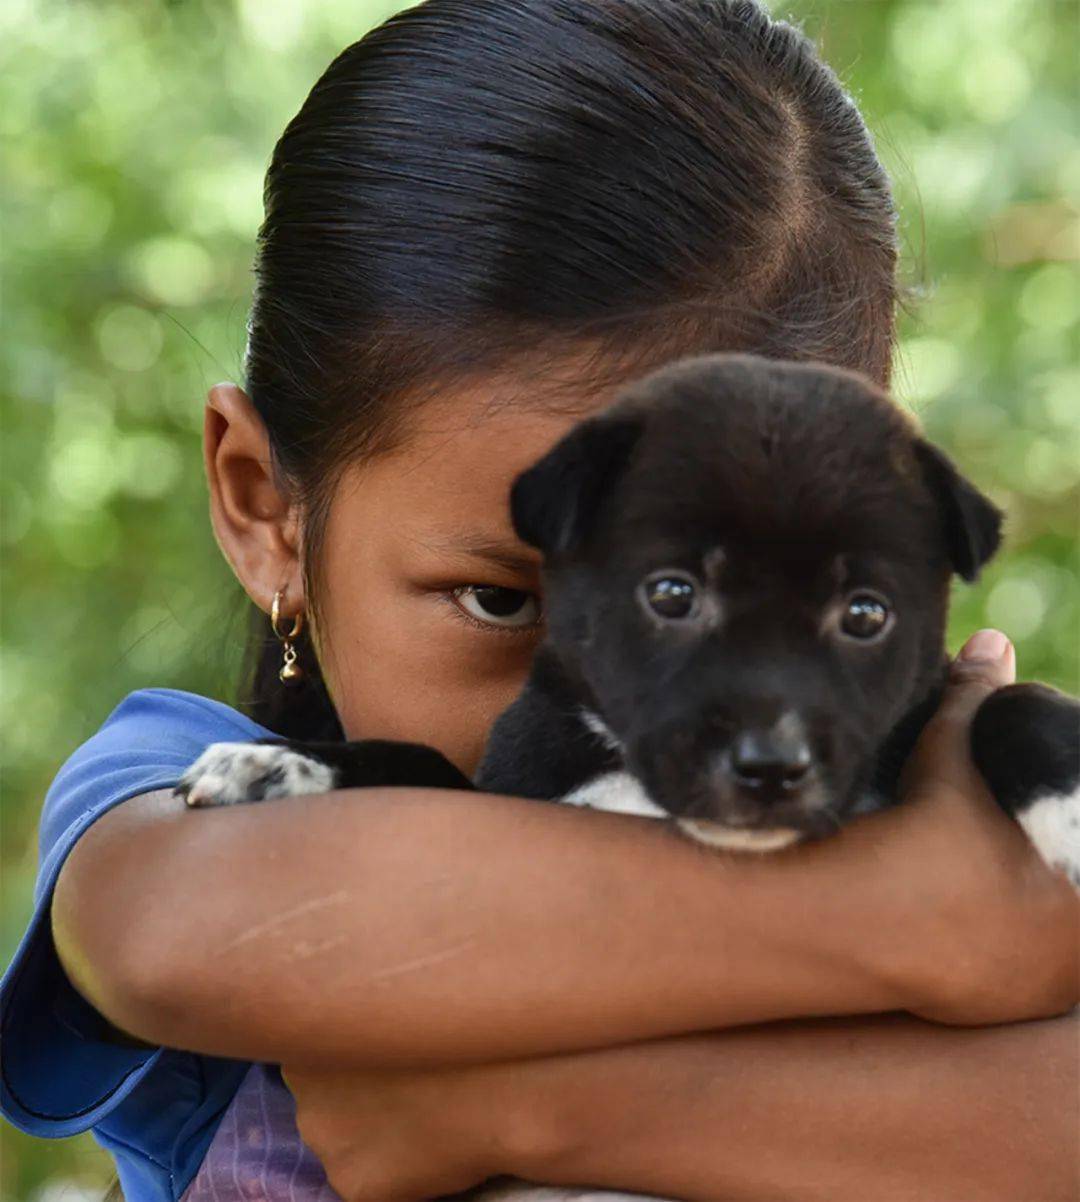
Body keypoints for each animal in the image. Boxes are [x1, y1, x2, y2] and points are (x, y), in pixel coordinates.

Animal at [178, 350, 1080, 889]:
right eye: (672, 595)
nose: (769, 768)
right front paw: (278, 764)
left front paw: (1073, 812)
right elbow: (415, 757)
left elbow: (1014, 701)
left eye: (865, 614)